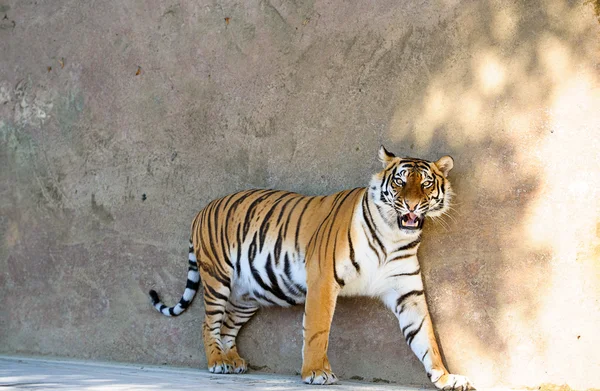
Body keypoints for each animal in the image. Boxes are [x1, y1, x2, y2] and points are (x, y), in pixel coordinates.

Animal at [149, 148, 474, 391]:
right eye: (399, 182)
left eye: (426, 184)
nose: (411, 205)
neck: (394, 236)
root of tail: (202, 209)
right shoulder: (323, 279)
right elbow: (318, 330)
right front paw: (316, 372)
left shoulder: (409, 293)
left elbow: (427, 337)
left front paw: (446, 378)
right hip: (217, 279)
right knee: (209, 324)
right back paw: (218, 362)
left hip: (246, 296)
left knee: (227, 327)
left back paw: (234, 361)